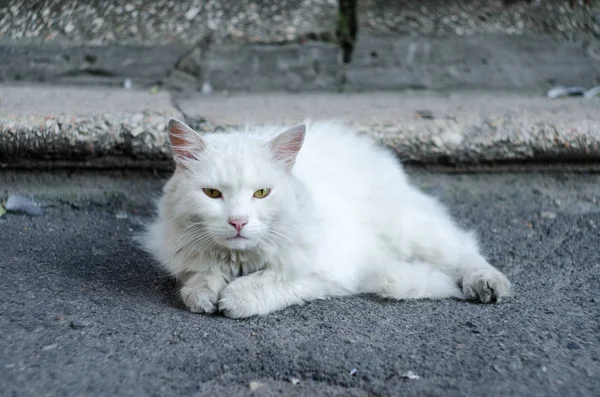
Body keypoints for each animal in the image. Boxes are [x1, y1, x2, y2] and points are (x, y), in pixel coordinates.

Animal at [141, 119, 510, 318]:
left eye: (261, 193)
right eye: (212, 194)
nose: (238, 223)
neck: (241, 259)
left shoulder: (331, 272)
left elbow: (270, 282)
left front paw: (234, 299)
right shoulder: (188, 256)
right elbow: (199, 280)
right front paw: (206, 296)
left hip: (411, 232)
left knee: (464, 251)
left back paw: (488, 286)